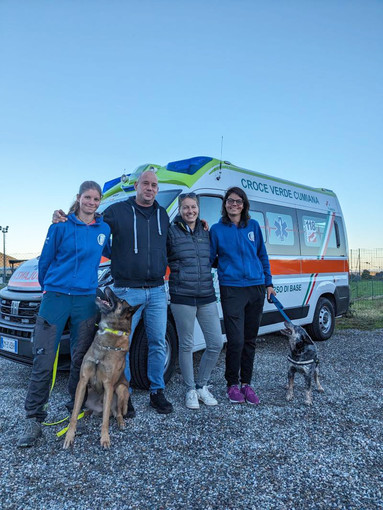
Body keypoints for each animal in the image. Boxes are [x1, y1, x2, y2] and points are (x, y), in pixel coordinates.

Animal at [63, 286, 141, 450]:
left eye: (121, 300)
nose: (107, 287)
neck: (110, 332)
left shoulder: (108, 385)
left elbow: (105, 420)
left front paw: (105, 438)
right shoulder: (83, 382)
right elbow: (74, 415)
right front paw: (69, 436)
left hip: (121, 390)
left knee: (116, 412)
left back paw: (120, 422)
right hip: (87, 396)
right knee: (89, 410)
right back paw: (86, 413)